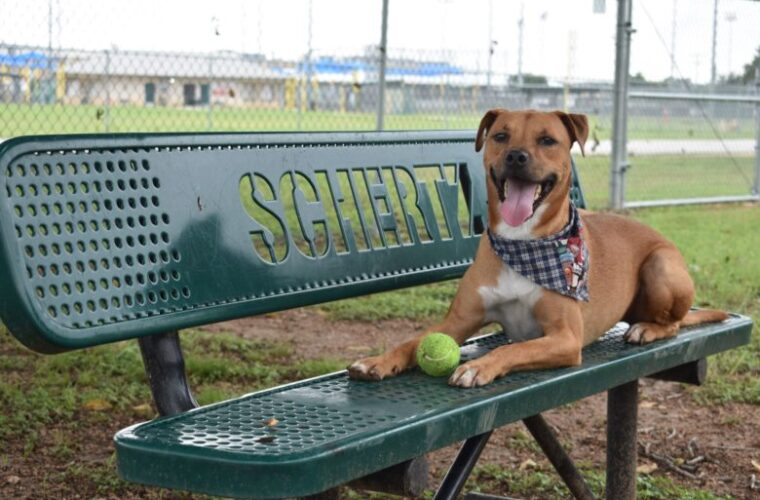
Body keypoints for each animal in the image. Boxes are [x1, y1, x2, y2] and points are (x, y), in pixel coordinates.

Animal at [348, 109, 728, 388]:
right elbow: (412, 341)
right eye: (501, 136)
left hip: (661, 265)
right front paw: (376, 360)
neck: (524, 242)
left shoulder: (566, 337)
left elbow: (515, 349)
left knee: (674, 323)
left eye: (548, 140)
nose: (516, 156)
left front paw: (479, 366)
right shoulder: (457, 321)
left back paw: (647, 329)